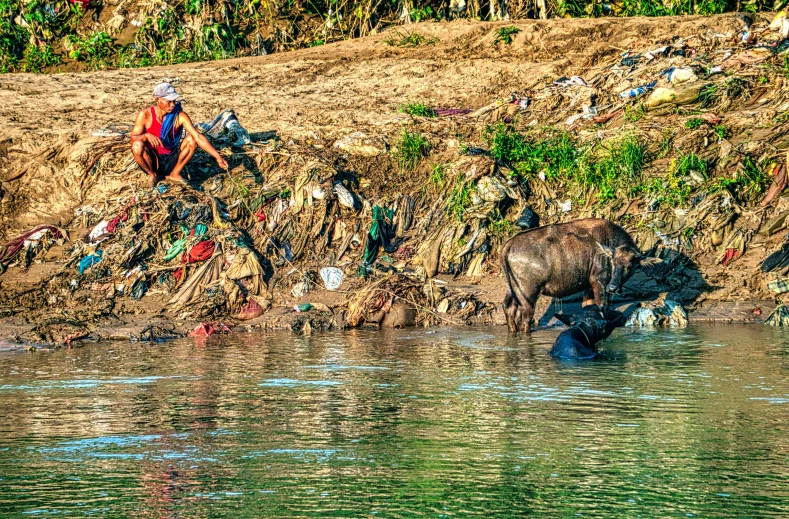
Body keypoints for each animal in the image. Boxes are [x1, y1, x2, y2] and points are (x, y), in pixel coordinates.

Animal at [498, 219, 660, 334]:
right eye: (613, 262)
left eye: (629, 265)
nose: (613, 287)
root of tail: (508, 244)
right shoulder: (599, 281)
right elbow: (602, 306)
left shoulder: (589, 286)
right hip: (529, 293)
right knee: (526, 317)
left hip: (512, 289)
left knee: (508, 307)